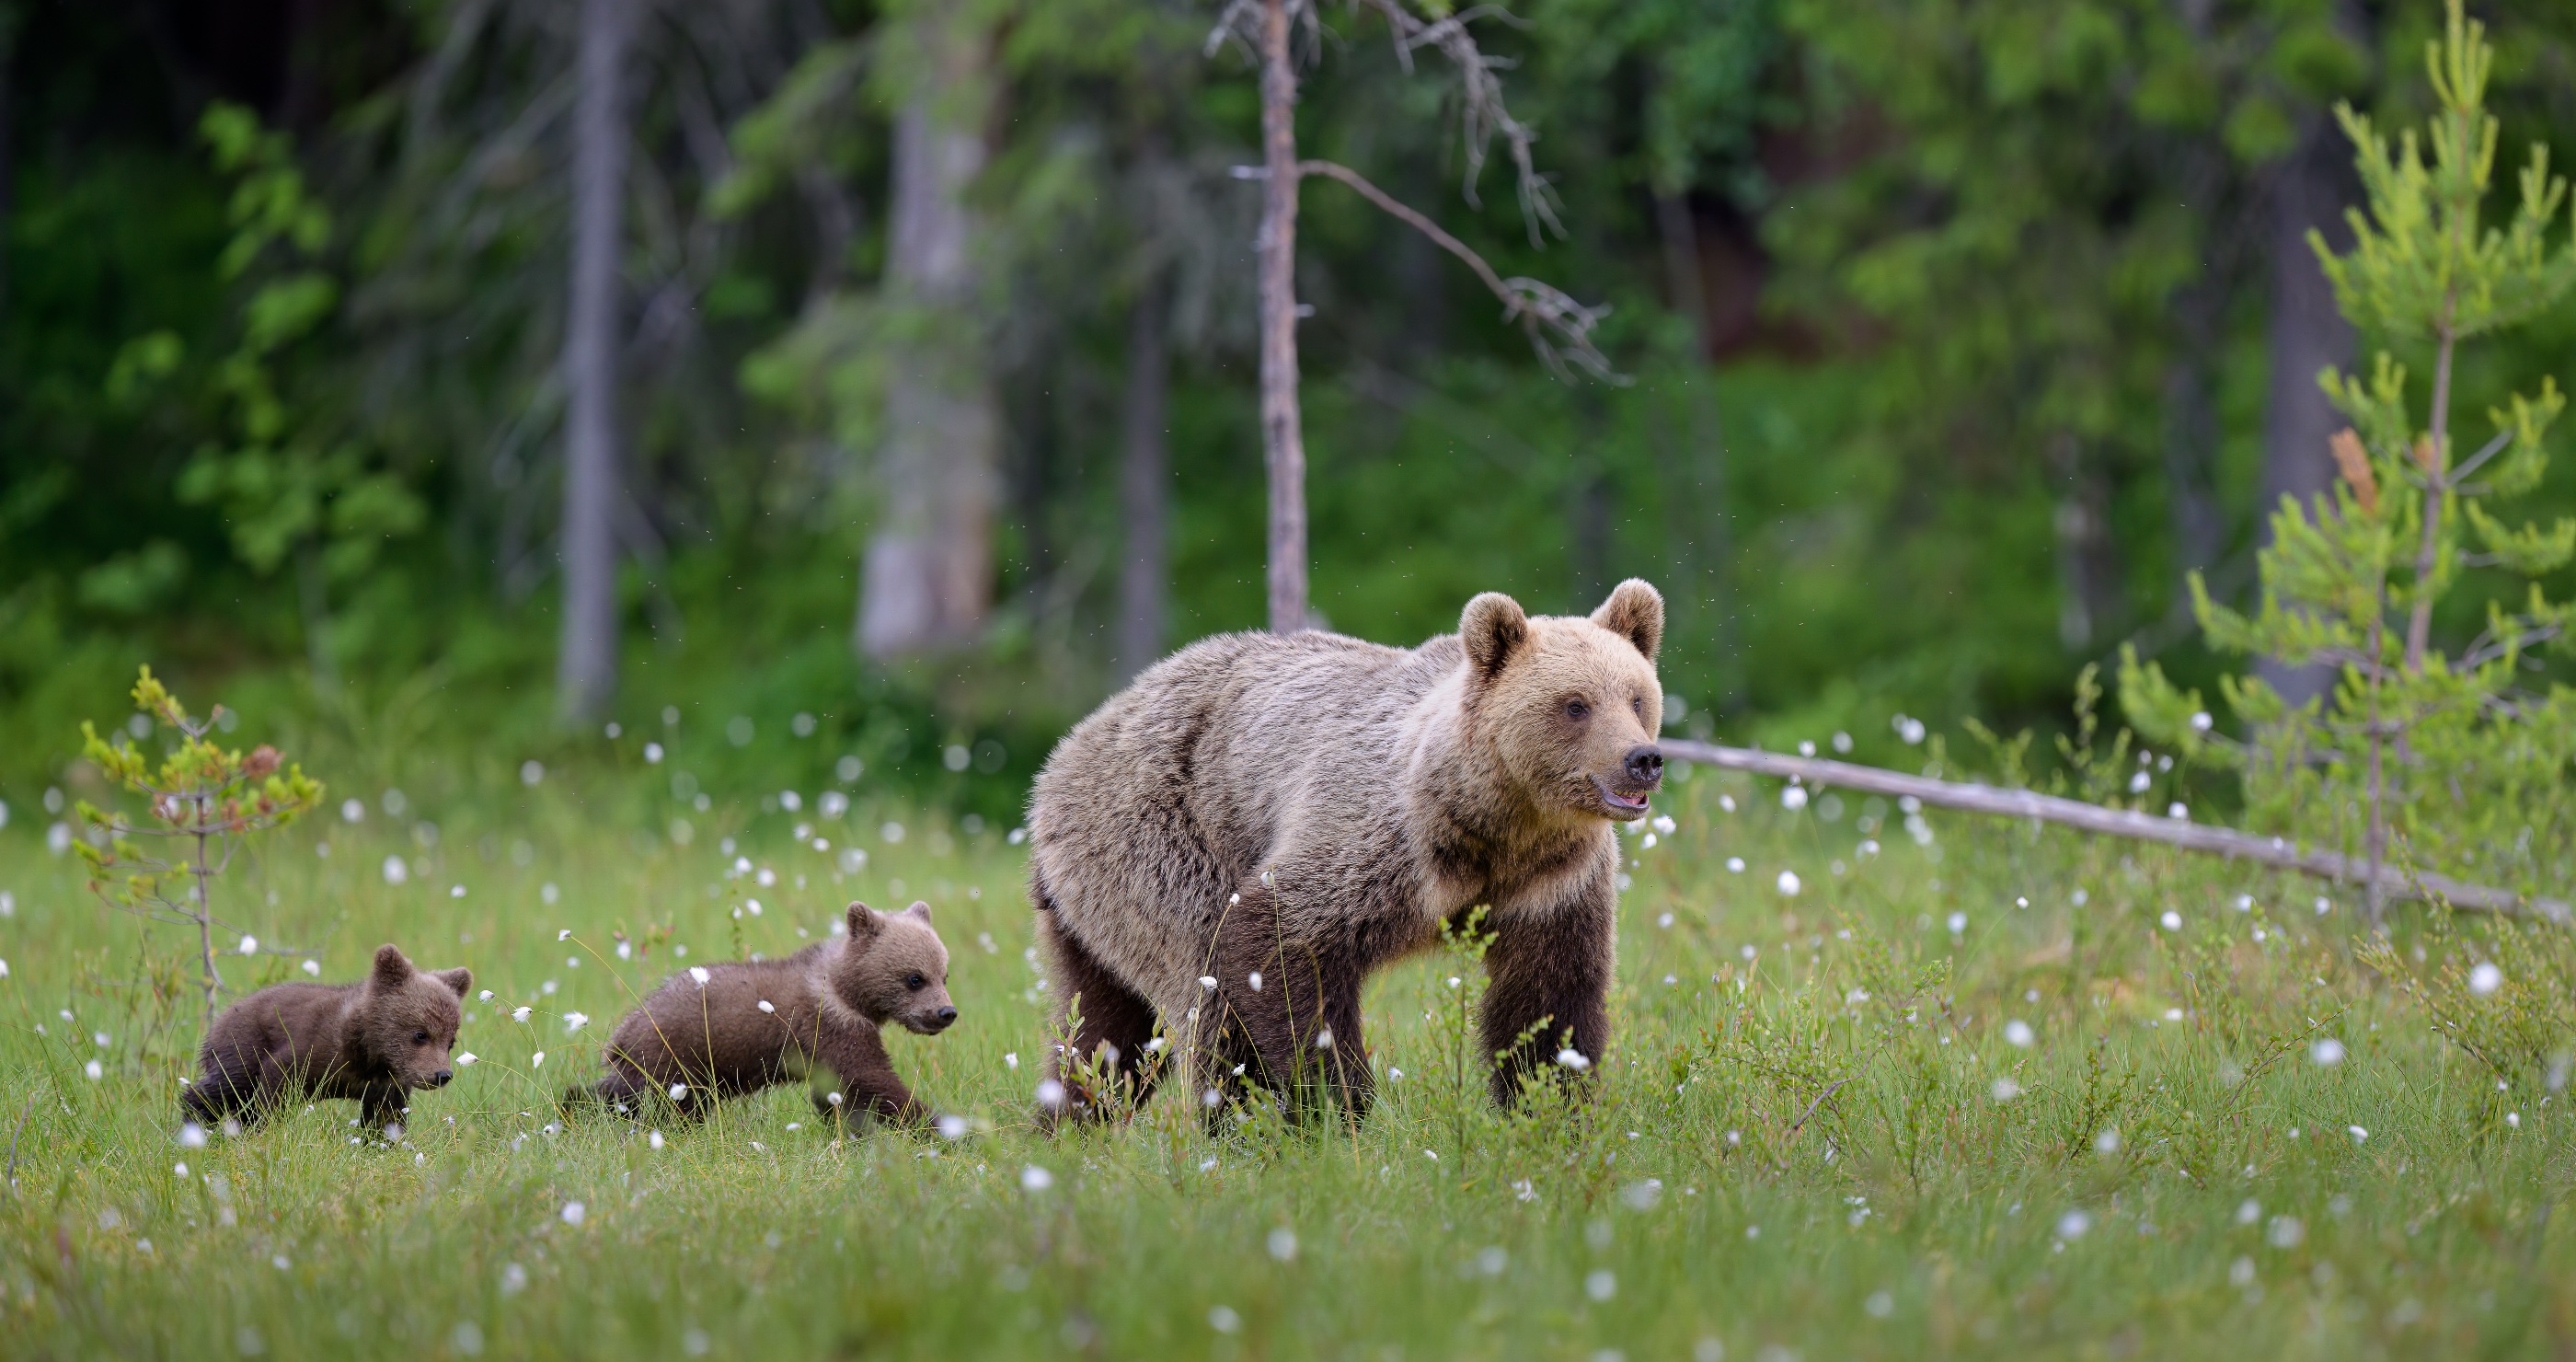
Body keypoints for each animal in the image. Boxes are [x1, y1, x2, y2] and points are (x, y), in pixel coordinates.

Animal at [184, 943, 472, 1133]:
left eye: (450, 1041)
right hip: (242, 1046)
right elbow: (273, 1092)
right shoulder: (309, 1050)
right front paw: (264, 1129)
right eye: (421, 1034)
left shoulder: (385, 1083)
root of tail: (219, 1019)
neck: (368, 1053)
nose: (442, 1074)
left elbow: (386, 1118)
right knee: (223, 1088)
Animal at [574, 901, 956, 1129]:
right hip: (673, 1060)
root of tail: (622, 1032)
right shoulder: (831, 1027)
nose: (946, 1012)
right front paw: (941, 1127)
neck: (846, 992)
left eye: (944, 974)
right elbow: (874, 1082)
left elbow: (840, 1094)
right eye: (915, 977)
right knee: (641, 1100)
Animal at [1026, 578, 1665, 1124]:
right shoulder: (1381, 839)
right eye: (1575, 704)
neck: (1495, 826)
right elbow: (1281, 940)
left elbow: (1548, 998)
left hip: (1095, 905)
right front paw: (1344, 1107)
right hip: (1159, 842)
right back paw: (1233, 1132)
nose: (1643, 759)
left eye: (1636, 697)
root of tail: (1068, 749)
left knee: (1105, 1030)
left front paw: (1551, 1107)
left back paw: (1068, 1123)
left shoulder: (1553, 881)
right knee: (1207, 1005)